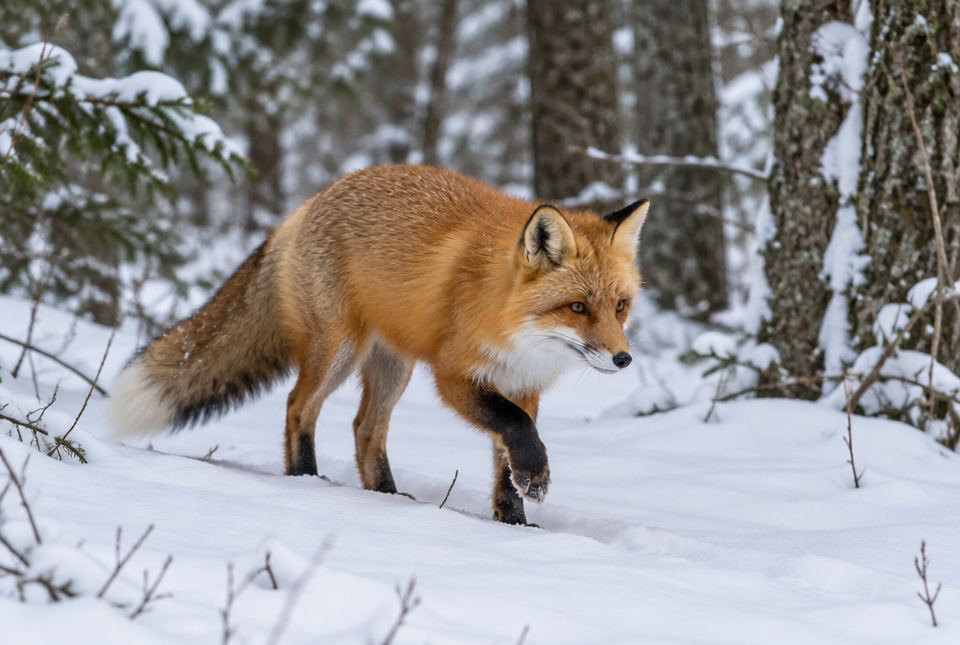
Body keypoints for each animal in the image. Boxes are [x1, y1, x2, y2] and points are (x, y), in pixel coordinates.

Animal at [110, 164, 648, 525]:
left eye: (620, 306)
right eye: (578, 307)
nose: (623, 358)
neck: (513, 322)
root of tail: (309, 202)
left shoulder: (521, 385)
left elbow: (506, 460)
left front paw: (514, 521)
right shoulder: (455, 376)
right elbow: (517, 431)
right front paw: (535, 477)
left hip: (393, 366)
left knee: (365, 428)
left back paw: (385, 495)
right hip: (339, 353)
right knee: (298, 406)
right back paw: (305, 478)